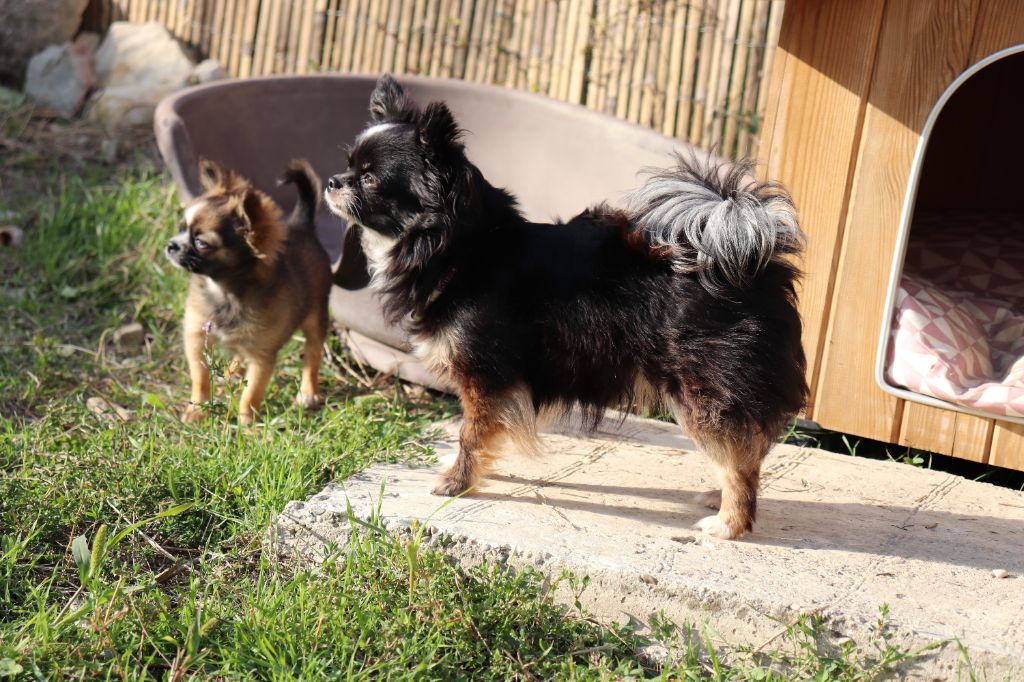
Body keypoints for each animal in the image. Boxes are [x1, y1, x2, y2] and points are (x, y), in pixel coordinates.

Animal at [165, 161, 329, 421]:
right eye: (180, 229)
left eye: (201, 243)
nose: (171, 245)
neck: (225, 291)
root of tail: (302, 225)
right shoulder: (197, 335)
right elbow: (200, 379)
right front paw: (197, 409)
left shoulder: (261, 355)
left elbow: (251, 394)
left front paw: (246, 423)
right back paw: (231, 373)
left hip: (316, 315)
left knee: (313, 353)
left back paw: (308, 393)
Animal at [325, 76, 806, 536]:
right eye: (348, 164)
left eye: (369, 178)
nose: (332, 181)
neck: (458, 249)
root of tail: (750, 260)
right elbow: (487, 434)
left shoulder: (484, 377)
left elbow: (470, 433)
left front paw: (455, 483)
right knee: (746, 451)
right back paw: (715, 496)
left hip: (701, 391)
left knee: (737, 458)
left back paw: (728, 523)